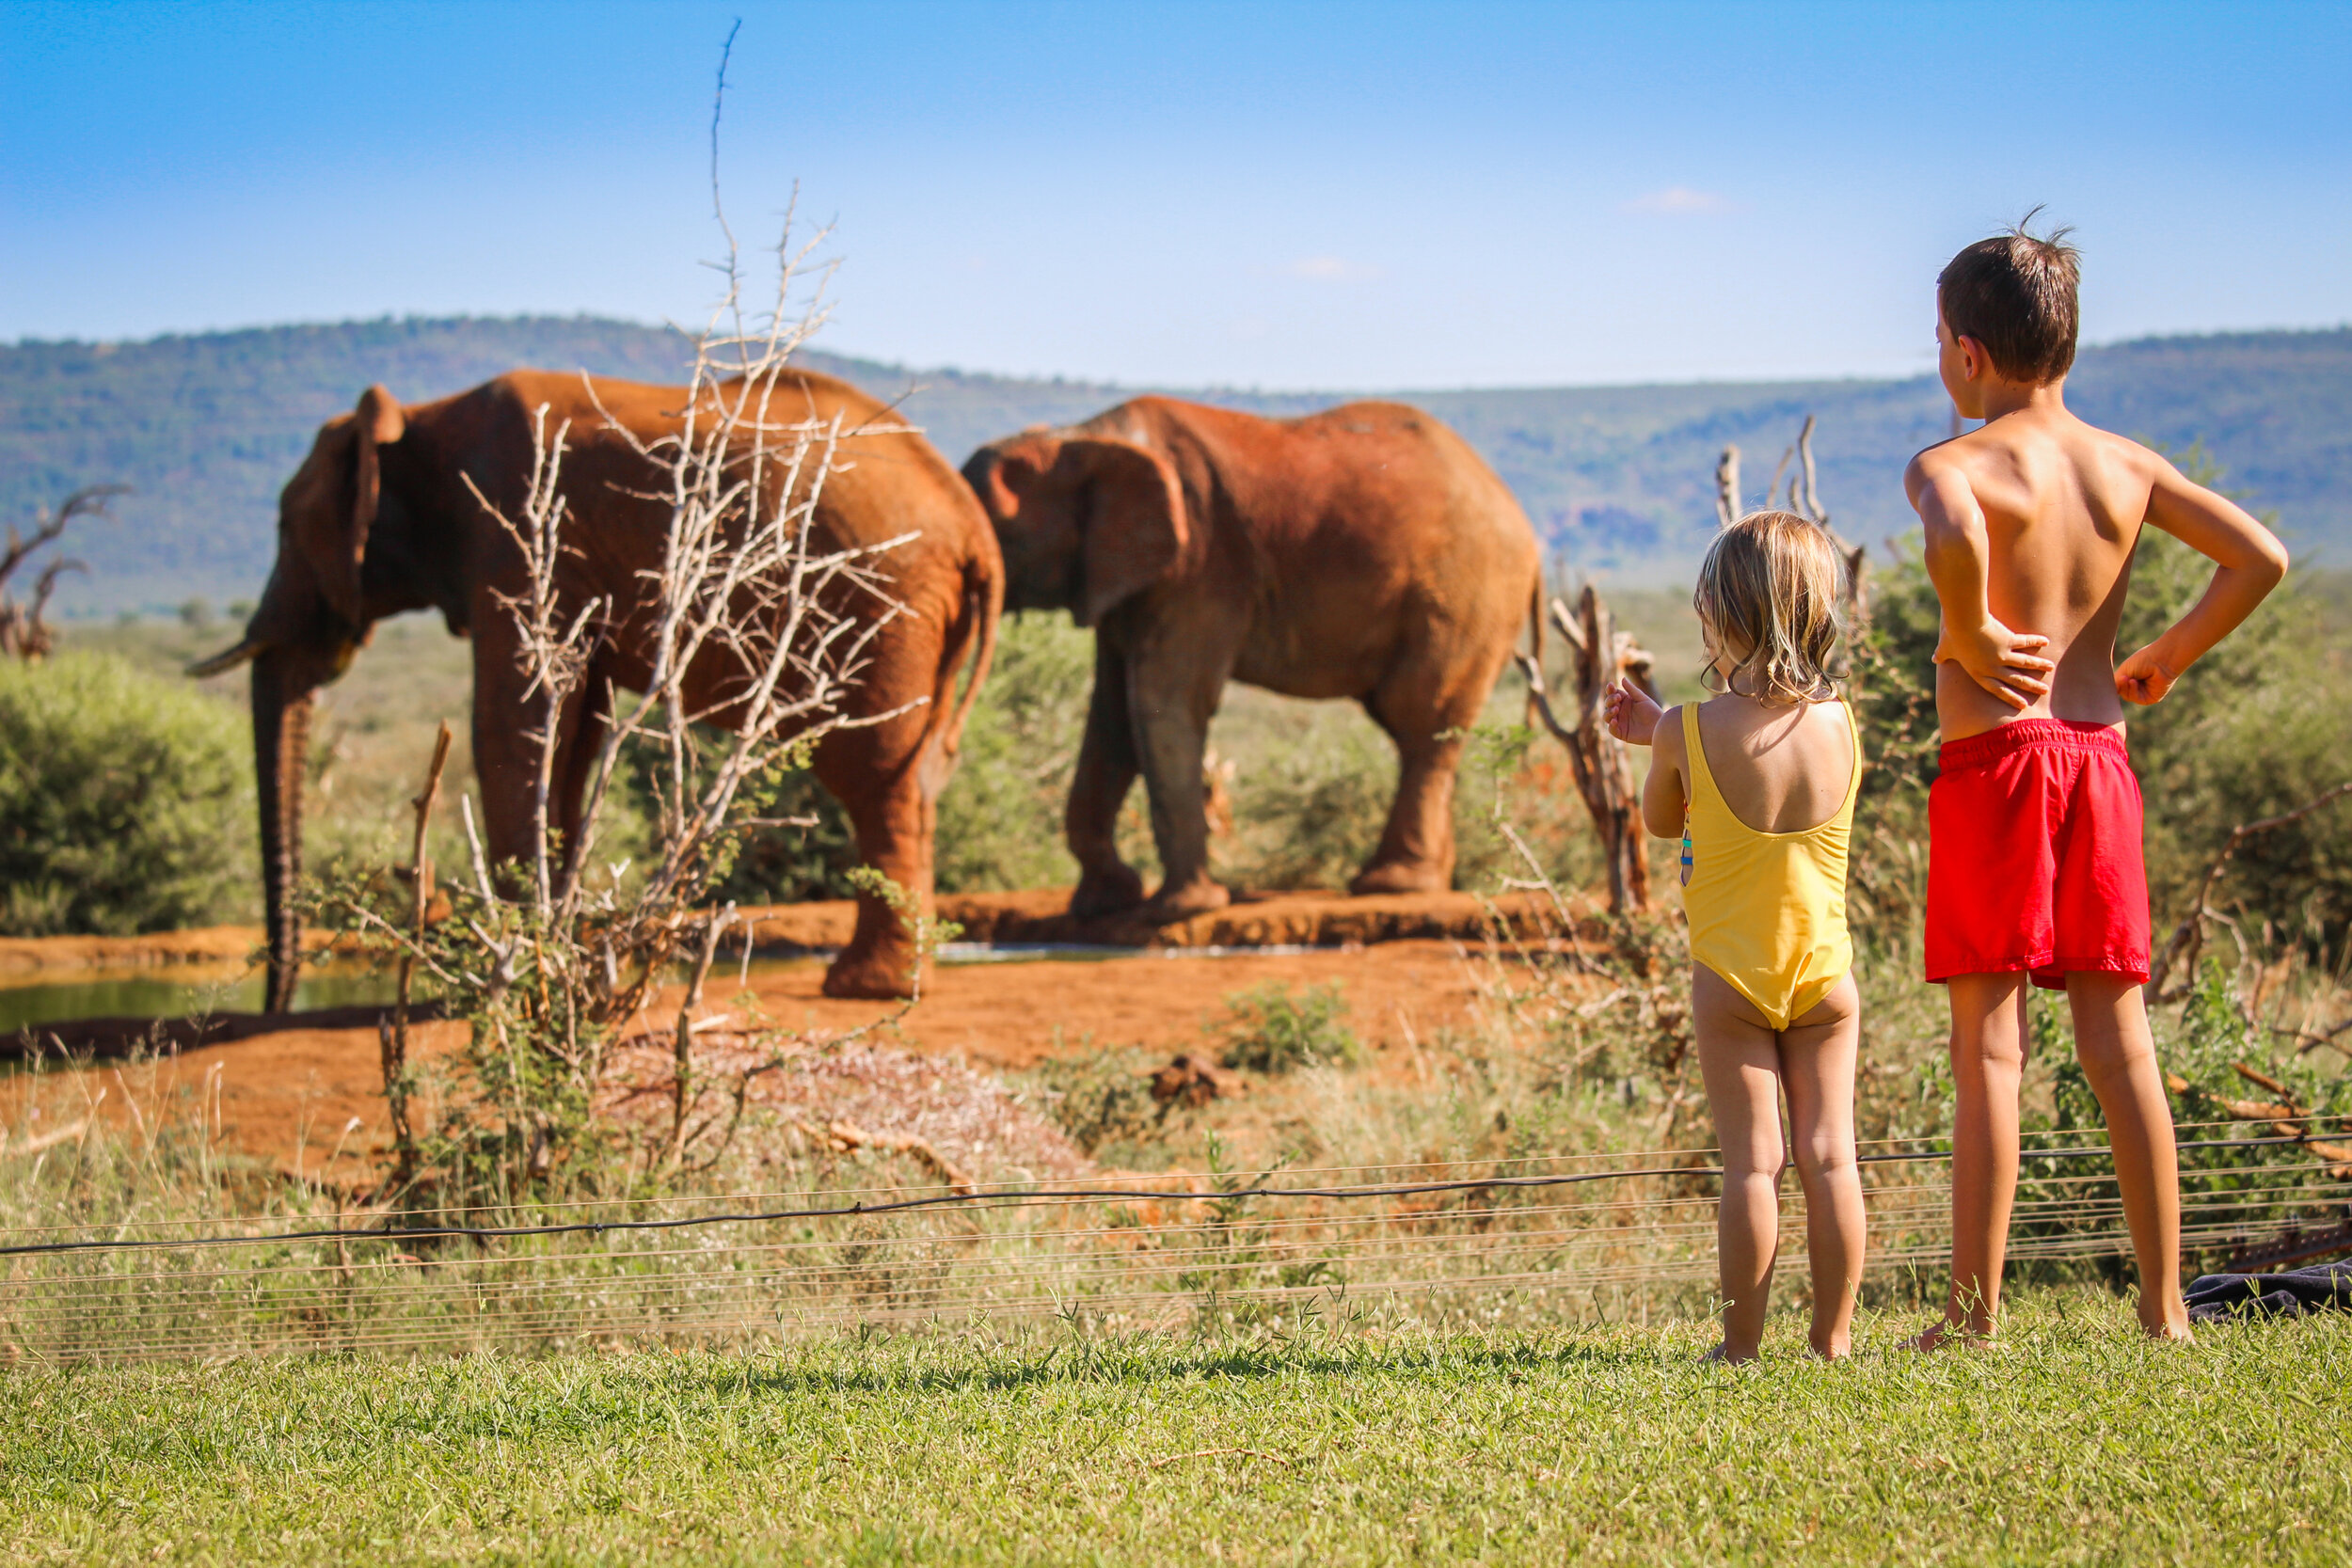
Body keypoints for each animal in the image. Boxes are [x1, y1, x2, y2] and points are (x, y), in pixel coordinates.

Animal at [195, 369, 1002, 1006]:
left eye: (284, 527)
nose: (274, 1006)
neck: (425, 419)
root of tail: (974, 530)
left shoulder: (519, 531)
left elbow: (512, 723)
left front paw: (521, 970)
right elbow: (571, 732)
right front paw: (559, 952)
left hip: (875, 606)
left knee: (871, 777)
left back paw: (865, 987)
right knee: (912, 778)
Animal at [960, 399, 1543, 926]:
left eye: (1000, 533)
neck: (1081, 437)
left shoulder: (1200, 562)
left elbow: (1164, 703)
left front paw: (1179, 911)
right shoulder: (1123, 574)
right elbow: (1112, 717)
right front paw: (1104, 905)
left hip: (1464, 596)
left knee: (1422, 719)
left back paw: (1393, 886)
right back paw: (1421, 882)